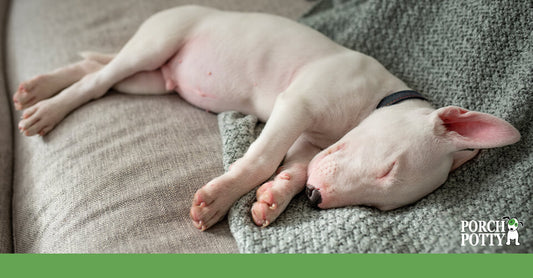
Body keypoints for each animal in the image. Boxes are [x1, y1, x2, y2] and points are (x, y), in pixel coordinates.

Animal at [13, 5, 520, 230]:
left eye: (382, 207)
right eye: (388, 169)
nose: (317, 200)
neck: (376, 97)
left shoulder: (310, 143)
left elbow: (292, 168)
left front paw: (274, 199)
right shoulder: (295, 105)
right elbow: (261, 158)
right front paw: (218, 200)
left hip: (151, 80)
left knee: (96, 73)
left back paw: (39, 87)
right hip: (158, 42)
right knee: (97, 80)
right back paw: (45, 108)